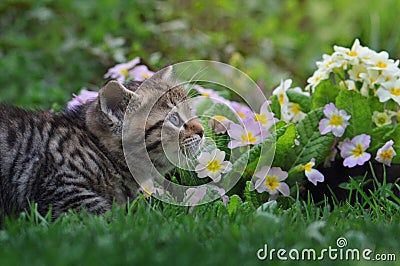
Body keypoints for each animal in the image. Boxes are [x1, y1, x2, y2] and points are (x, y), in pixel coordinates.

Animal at [0, 67, 205, 220]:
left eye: (190, 110)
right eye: (174, 119)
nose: (202, 131)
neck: (100, 149)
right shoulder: (59, 186)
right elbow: (103, 215)